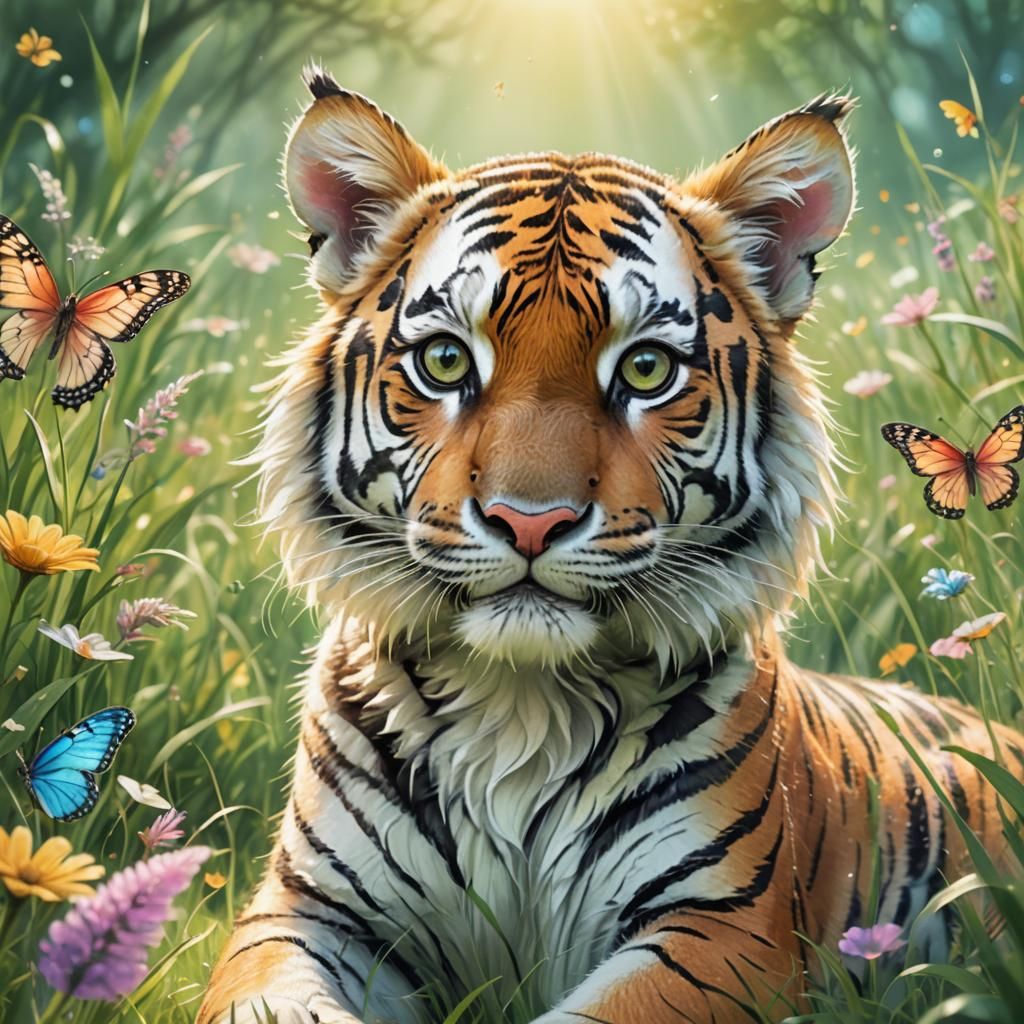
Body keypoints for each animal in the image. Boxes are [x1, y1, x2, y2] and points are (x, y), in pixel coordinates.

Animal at [198, 69, 1023, 1024]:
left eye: (644, 370)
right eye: (445, 362)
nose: (528, 520)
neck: (517, 707)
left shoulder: (723, 931)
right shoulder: (303, 910)